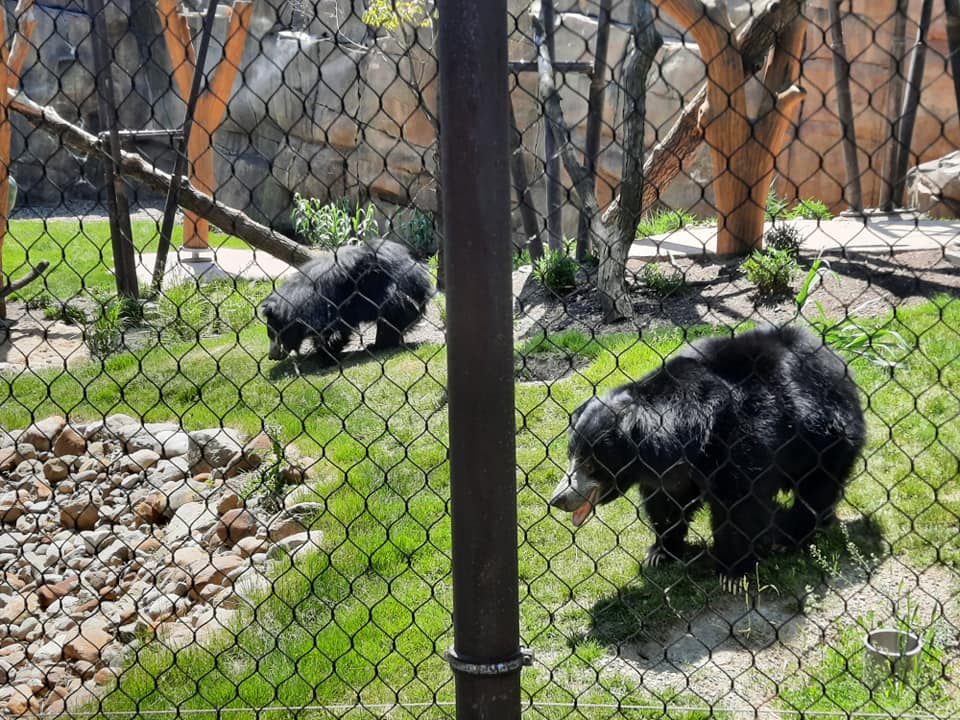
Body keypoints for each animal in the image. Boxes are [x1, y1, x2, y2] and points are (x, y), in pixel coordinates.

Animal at [259, 239, 434, 362]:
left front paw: (328, 352)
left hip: (388, 289)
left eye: (274, 335)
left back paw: (380, 344)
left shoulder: (328, 304)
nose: (272, 356)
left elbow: (331, 329)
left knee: (394, 314)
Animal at [548, 325, 866, 580]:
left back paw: (791, 535)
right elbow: (667, 503)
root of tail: (836, 363)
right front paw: (660, 552)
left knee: (816, 489)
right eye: (571, 456)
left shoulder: (739, 441)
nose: (558, 499)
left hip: (827, 437)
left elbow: (739, 505)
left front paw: (731, 569)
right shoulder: (670, 470)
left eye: (590, 465)